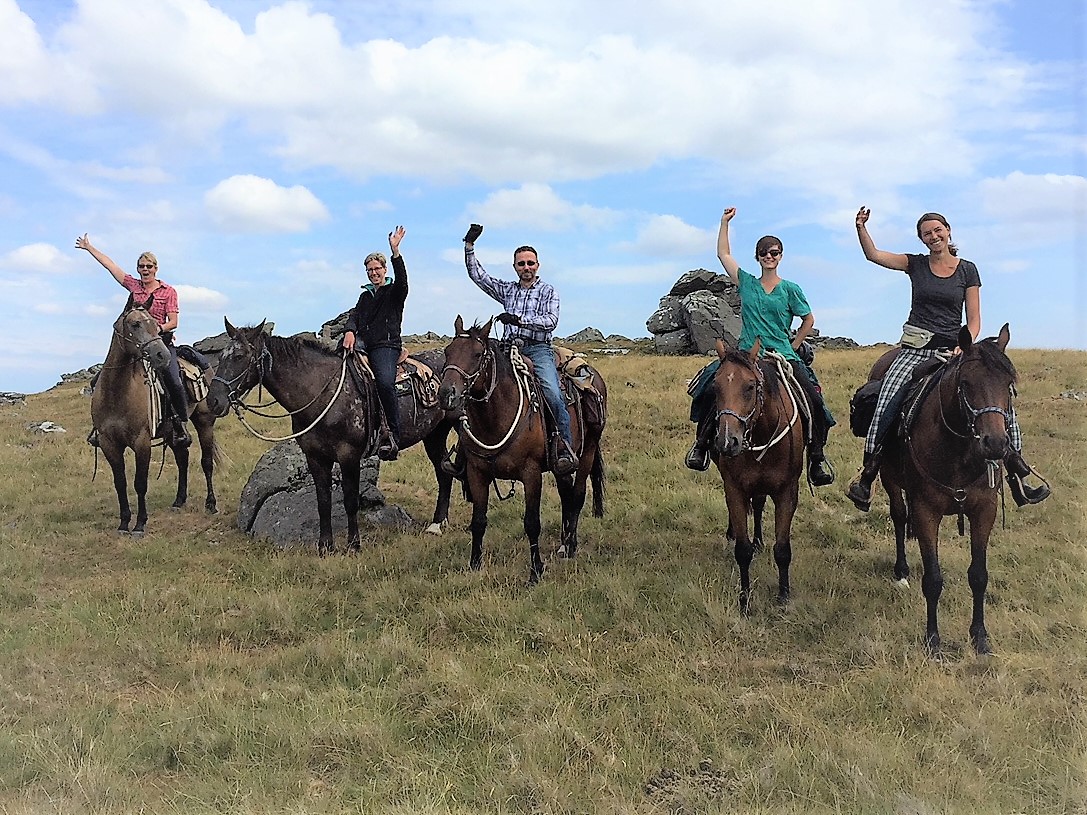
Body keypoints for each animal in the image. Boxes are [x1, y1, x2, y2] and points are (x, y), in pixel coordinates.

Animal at [92, 294, 221, 534]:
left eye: (155, 324)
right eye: (135, 324)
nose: (162, 355)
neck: (117, 393)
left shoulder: (141, 442)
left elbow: (140, 483)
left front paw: (140, 524)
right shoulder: (108, 443)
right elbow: (120, 483)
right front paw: (124, 523)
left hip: (204, 422)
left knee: (206, 462)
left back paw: (211, 504)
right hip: (172, 431)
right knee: (182, 458)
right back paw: (179, 501)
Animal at [206, 319, 457, 554]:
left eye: (240, 356)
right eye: (221, 357)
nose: (213, 401)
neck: (322, 393)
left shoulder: (349, 456)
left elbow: (350, 501)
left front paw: (354, 544)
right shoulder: (315, 457)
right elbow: (323, 501)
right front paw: (325, 545)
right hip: (434, 435)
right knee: (443, 473)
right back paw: (437, 523)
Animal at [437, 317, 607, 584]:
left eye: (477, 354)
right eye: (447, 352)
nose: (446, 394)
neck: (495, 418)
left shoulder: (531, 473)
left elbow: (532, 523)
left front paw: (536, 571)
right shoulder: (476, 472)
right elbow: (478, 520)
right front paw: (475, 564)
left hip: (588, 451)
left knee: (578, 496)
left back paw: (571, 546)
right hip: (560, 465)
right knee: (566, 494)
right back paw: (563, 543)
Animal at [708, 338, 806, 615]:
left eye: (750, 387)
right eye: (715, 387)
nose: (727, 442)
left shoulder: (787, 492)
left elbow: (782, 549)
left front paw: (783, 595)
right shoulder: (735, 489)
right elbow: (742, 550)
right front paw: (744, 600)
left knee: (760, 505)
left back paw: (759, 541)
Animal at [867, 324, 1016, 656]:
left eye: (1009, 384)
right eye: (965, 383)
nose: (995, 444)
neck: (957, 451)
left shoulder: (983, 510)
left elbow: (979, 575)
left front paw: (979, 637)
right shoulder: (926, 512)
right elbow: (933, 579)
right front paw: (933, 640)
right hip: (889, 478)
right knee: (899, 517)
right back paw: (901, 572)